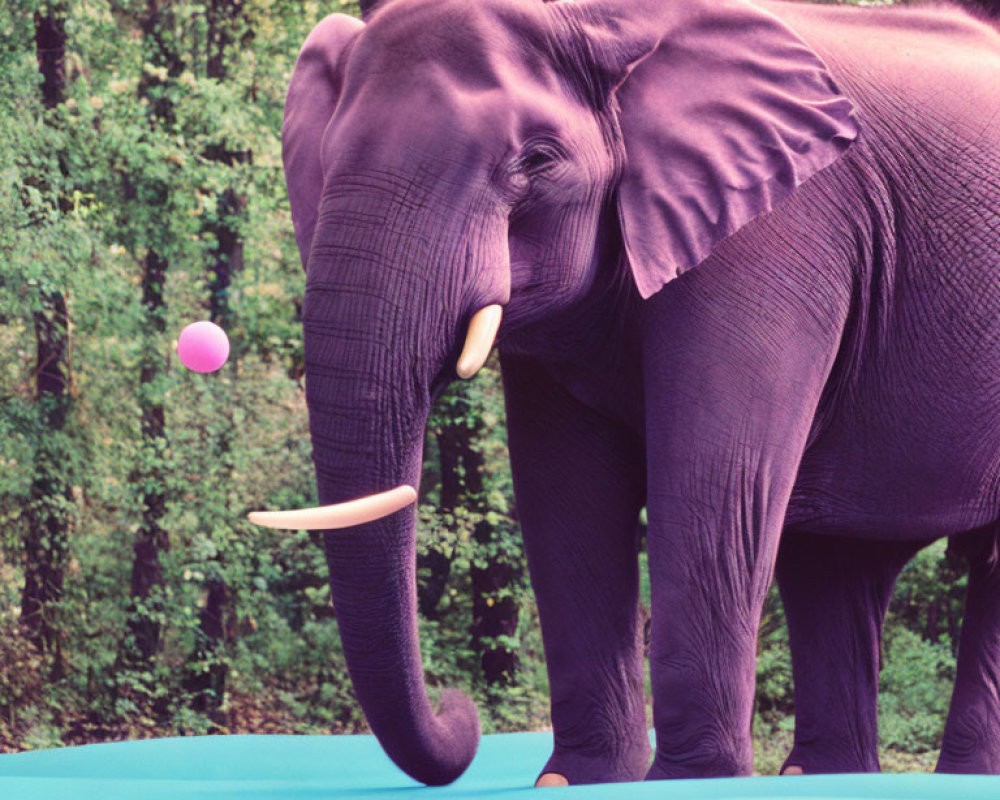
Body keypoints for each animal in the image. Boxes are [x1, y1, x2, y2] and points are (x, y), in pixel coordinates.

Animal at [244, 0, 1000, 788]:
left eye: (536, 162)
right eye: (326, 158)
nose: (459, 707)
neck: (609, 25)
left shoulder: (780, 231)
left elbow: (712, 487)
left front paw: (692, 782)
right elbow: (567, 500)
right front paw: (576, 780)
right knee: (833, 564)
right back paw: (827, 776)